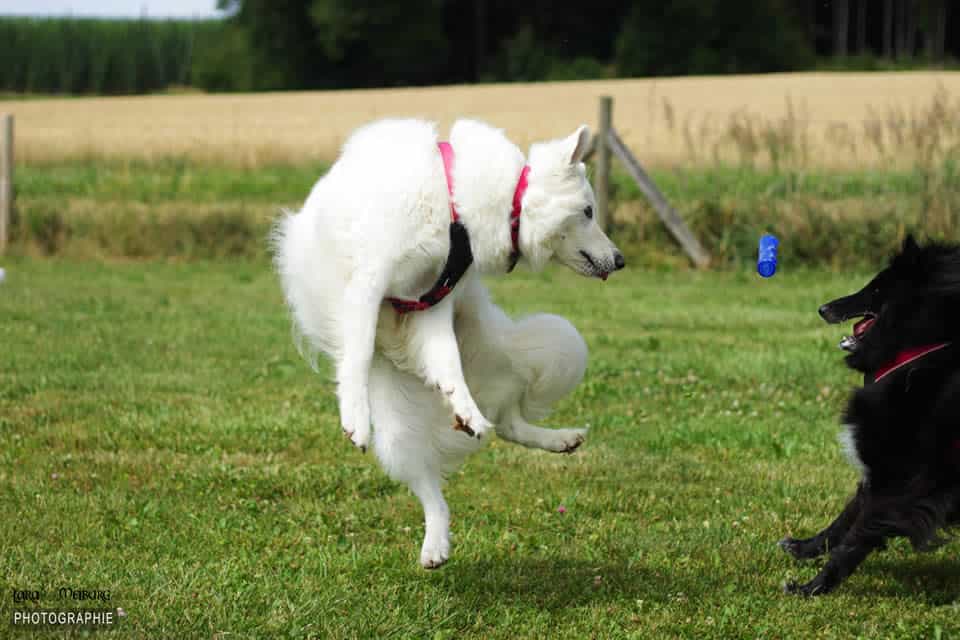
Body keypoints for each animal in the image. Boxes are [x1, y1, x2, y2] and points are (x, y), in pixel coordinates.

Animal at [274, 117, 628, 568]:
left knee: (505, 424)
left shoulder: (433, 302)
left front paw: (462, 405)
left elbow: (448, 364)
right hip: (398, 433)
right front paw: (354, 416)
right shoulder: (369, 283)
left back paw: (543, 435)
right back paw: (435, 543)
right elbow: (357, 354)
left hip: (517, 352)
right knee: (434, 489)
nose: (621, 260)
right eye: (587, 211)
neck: (453, 206)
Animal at [780, 235, 960, 596]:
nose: (823, 308)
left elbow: (854, 538)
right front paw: (805, 547)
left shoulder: (898, 479)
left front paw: (813, 587)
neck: (923, 346)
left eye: (876, 288)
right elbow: (844, 518)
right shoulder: (880, 474)